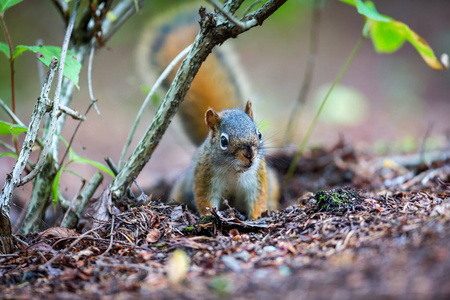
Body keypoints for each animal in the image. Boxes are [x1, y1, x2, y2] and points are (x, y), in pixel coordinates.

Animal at [137, 5, 278, 219]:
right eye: (224, 141)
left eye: (259, 134)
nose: (249, 154)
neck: (234, 171)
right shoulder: (204, 178)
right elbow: (205, 201)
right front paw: (209, 217)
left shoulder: (258, 179)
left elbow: (258, 201)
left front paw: (256, 218)